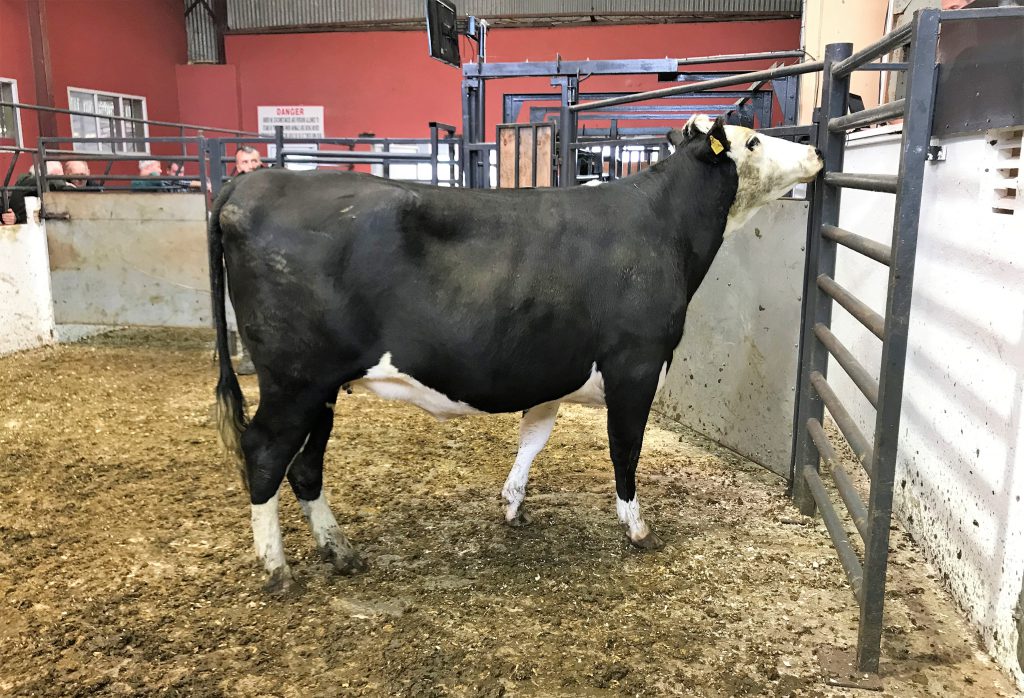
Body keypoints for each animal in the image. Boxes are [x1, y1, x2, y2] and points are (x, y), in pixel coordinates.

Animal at [208, 115, 823, 594]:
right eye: (752, 141)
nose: (816, 151)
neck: (663, 228)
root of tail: (252, 184)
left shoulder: (551, 372)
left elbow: (533, 439)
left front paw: (512, 505)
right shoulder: (637, 365)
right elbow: (625, 450)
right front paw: (636, 526)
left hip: (321, 387)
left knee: (305, 464)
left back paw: (339, 550)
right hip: (294, 379)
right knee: (265, 452)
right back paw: (277, 569)